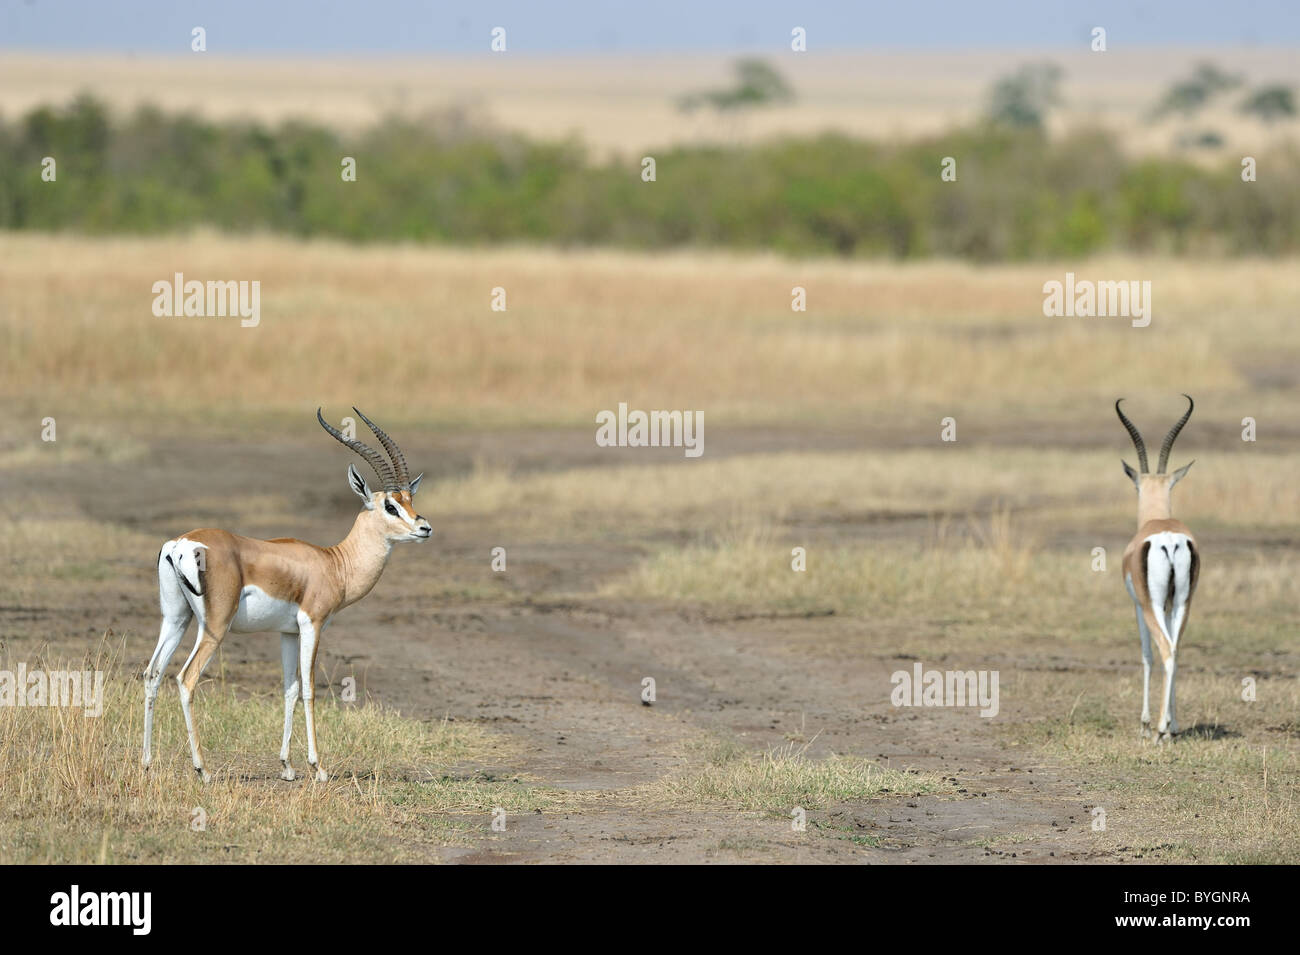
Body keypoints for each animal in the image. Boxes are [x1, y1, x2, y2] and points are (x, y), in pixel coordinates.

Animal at [142, 409, 431, 782]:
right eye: (390, 506)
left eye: (410, 500)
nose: (425, 528)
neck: (333, 563)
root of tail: (180, 543)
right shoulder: (312, 624)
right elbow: (308, 688)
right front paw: (318, 767)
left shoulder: (287, 632)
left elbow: (289, 689)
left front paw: (287, 767)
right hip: (214, 627)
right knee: (186, 678)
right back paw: (202, 770)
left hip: (177, 618)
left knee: (153, 674)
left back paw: (146, 763)